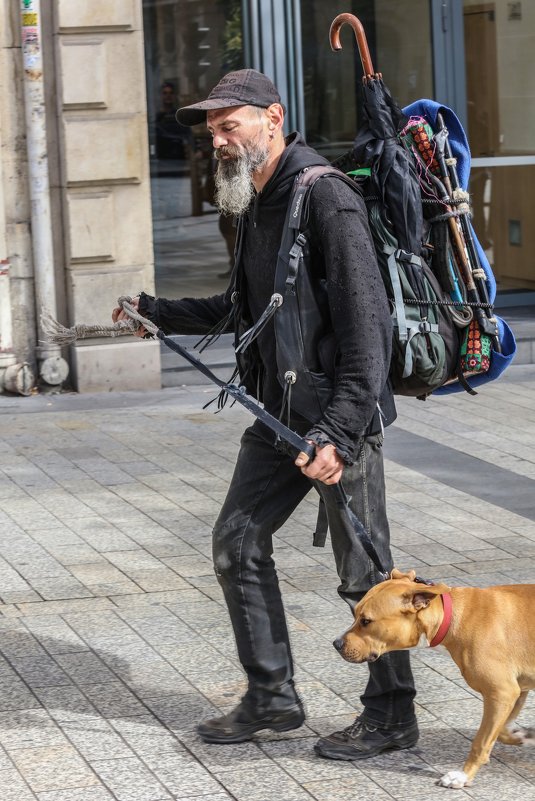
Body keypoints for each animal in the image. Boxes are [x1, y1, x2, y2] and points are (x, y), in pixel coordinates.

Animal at [336, 568, 535, 788]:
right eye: (355, 614)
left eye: (366, 621)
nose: (336, 643)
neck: (455, 616)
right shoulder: (515, 690)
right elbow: (501, 731)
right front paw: (523, 736)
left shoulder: (501, 692)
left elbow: (481, 742)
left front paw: (462, 776)